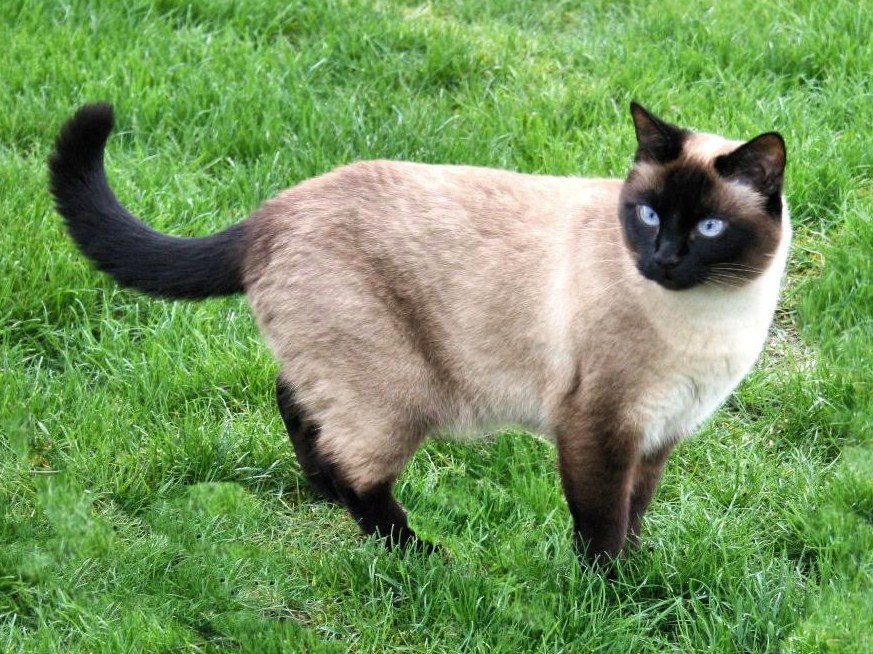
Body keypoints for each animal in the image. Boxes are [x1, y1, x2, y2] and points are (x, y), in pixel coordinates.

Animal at [49, 102, 792, 564]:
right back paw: (422, 556)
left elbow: (634, 515)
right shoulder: (599, 428)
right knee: (358, 474)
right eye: (647, 215)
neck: (713, 316)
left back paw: (321, 491)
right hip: (396, 394)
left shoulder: (658, 434)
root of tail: (267, 214)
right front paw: (608, 599)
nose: (661, 259)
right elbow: (601, 525)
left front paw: (639, 576)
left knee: (294, 402)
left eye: (707, 228)